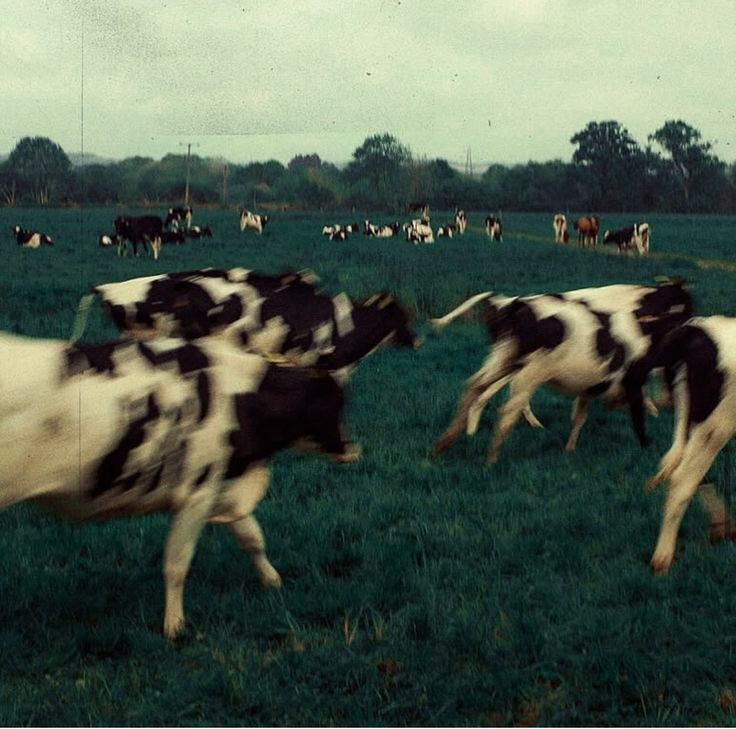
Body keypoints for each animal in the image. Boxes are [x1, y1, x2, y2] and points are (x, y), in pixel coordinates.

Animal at [0, 331, 360, 638]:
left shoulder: (223, 483)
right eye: (335, 401)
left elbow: (251, 537)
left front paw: (272, 580)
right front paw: (174, 626)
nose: (353, 450)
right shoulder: (197, 491)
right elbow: (177, 563)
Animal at [430, 281, 693, 463]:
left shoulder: (593, 383)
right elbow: (637, 413)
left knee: (477, 387)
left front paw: (570, 449)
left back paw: (450, 441)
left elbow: (580, 416)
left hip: (502, 361)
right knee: (503, 404)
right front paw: (647, 441)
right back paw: (485, 446)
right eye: (684, 307)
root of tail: (512, 302)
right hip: (526, 370)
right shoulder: (630, 378)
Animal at [645, 315, 736, 574]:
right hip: (715, 425)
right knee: (683, 478)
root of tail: (696, 328)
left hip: (692, 422)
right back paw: (662, 559)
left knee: (684, 469)